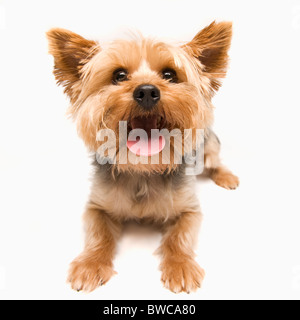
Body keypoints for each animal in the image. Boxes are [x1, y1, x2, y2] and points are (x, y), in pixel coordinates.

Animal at [47, 21, 239, 294]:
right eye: (119, 76)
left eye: (169, 74)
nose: (147, 91)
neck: (143, 169)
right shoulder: (97, 206)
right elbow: (98, 234)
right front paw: (90, 264)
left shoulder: (189, 209)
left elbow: (179, 237)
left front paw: (180, 266)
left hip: (209, 144)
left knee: (214, 161)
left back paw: (226, 177)